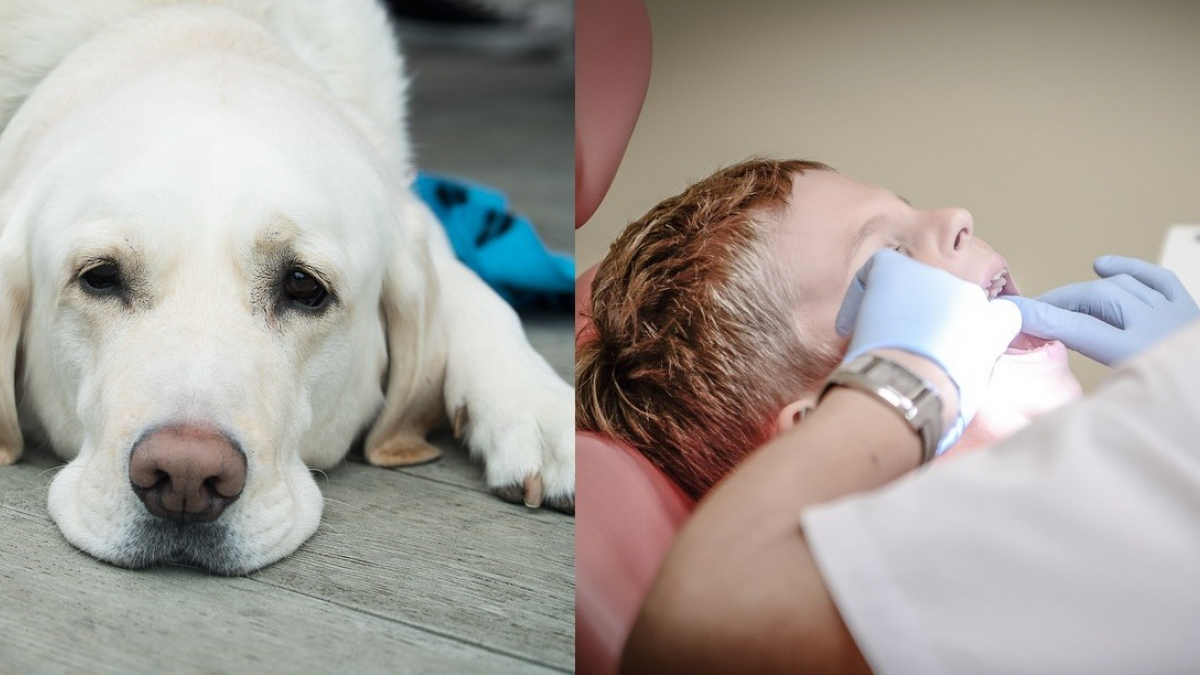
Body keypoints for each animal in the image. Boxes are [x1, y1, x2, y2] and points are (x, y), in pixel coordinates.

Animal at [0, 0, 573, 571]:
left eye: (302, 285)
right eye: (100, 277)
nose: (185, 476)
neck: (192, 19)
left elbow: (475, 289)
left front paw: (539, 408)